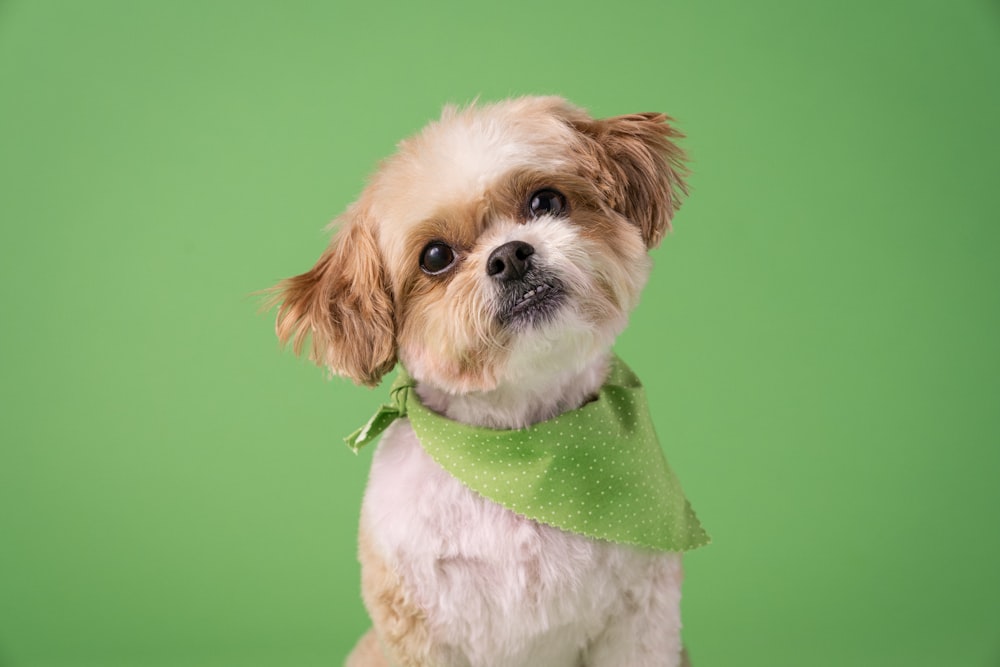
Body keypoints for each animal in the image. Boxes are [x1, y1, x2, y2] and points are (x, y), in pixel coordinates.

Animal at [274, 95, 708, 667]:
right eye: (435, 257)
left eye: (545, 201)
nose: (510, 255)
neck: (521, 448)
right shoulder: (417, 628)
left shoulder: (640, 617)